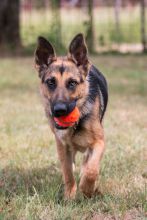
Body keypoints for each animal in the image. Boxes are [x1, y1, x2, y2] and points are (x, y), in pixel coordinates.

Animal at [34, 33, 108, 199]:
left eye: (72, 83)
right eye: (51, 82)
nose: (59, 110)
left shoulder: (99, 142)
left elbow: (92, 170)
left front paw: (87, 189)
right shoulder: (62, 146)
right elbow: (68, 173)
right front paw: (69, 195)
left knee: (87, 162)